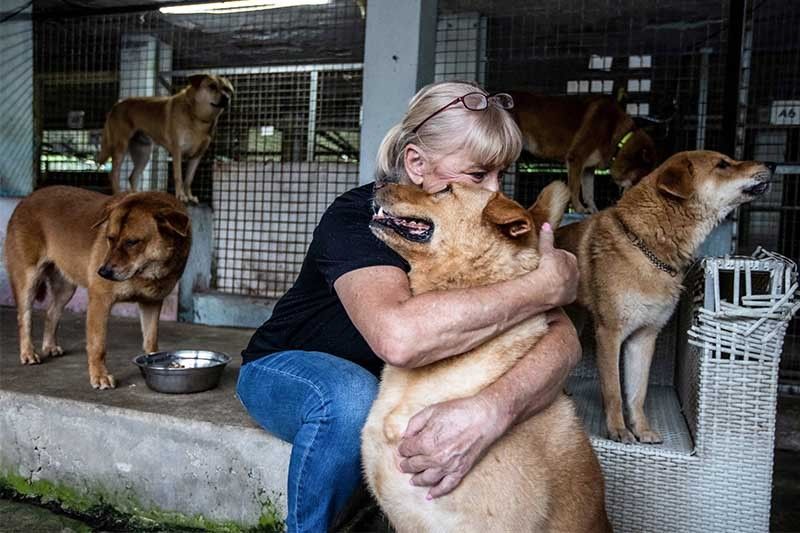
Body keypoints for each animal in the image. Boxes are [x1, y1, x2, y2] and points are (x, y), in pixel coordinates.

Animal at [5, 185, 192, 388]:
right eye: (109, 238)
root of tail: (27, 198)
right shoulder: (99, 300)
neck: (147, 272)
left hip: (65, 289)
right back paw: (28, 353)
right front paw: (100, 376)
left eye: (132, 242)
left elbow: (151, 342)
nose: (102, 272)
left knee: (51, 313)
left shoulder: (152, 303)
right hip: (28, 280)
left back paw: (50, 346)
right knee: (24, 318)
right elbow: (98, 345)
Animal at [96, 72, 233, 202]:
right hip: (121, 147)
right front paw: (181, 196)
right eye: (212, 86)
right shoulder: (177, 151)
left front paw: (189, 196)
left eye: (227, 89)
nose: (227, 98)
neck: (196, 116)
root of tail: (116, 105)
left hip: (143, 153)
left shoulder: (197, 156)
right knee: (113, 174)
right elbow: (179, 177)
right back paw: (117, 195)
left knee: (132, 176)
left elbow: (189, 179)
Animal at [512, 92, 656, 214]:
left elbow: (589, 193)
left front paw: (594, 211)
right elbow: (574, 189)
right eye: (642, 178)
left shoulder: (588, 169)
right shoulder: (576, 159)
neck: (618, 138)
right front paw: (579, 209)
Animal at [552, 150, 772, 440]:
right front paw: (618, 430)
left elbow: (637, 393)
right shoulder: (609, 334)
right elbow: (614, 391)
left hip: (576, 323)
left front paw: (641, 429)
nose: (772, 164)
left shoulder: (643, 338)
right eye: (722, 164)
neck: (650, 246)